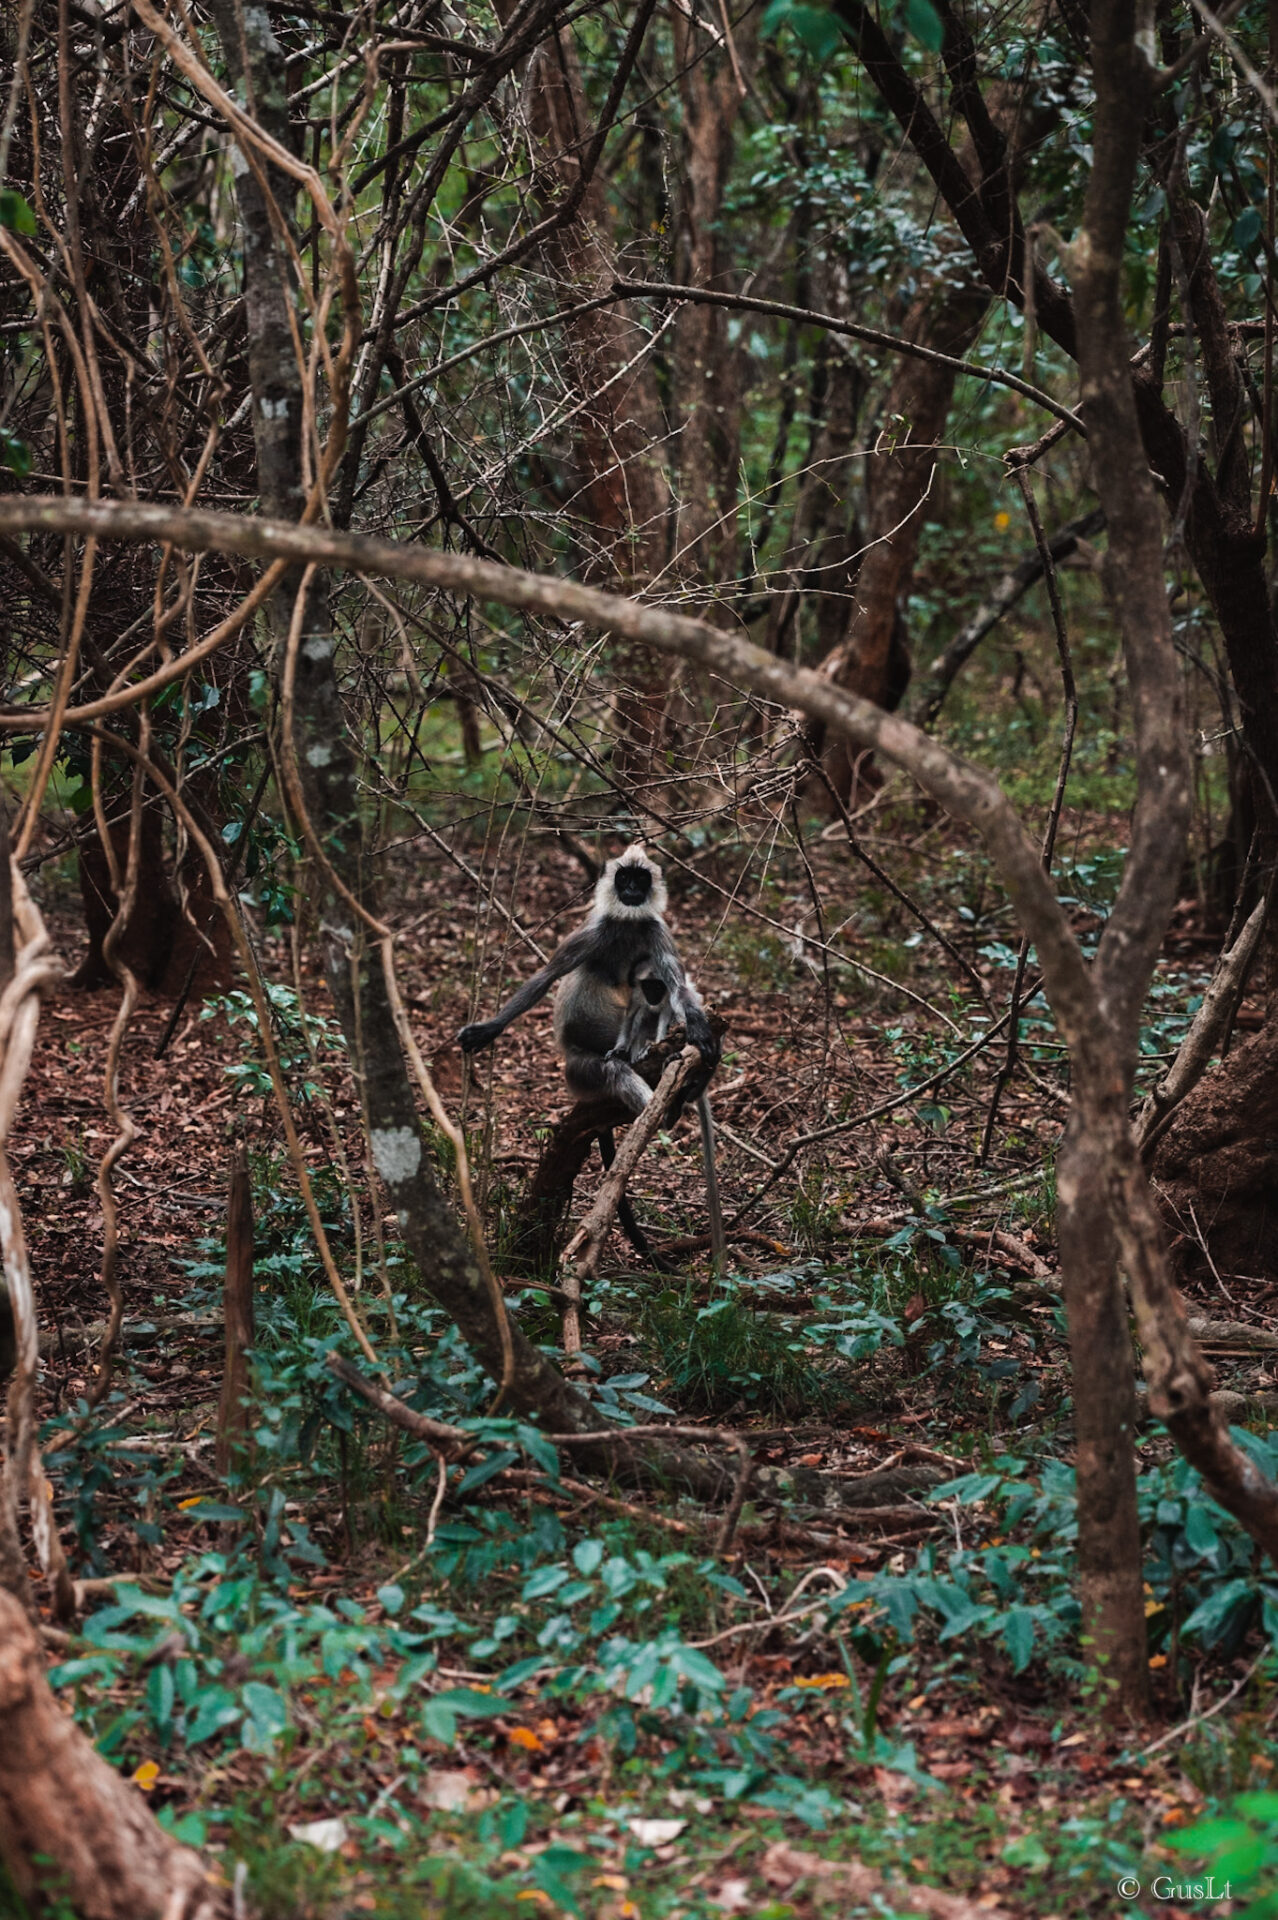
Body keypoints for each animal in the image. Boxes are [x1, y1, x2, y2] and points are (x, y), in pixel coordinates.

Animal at [458, 848, 721, 1267]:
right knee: (610, 1064)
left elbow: (679, 987)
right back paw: (662, 1105)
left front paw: (698, 1031)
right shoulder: (592, 931)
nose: (631, 890)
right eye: (623, 878)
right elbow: (547, 977)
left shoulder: (656, 932)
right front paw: (488, 1029)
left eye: (640, 880)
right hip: (579, 1070)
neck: (627, 924)